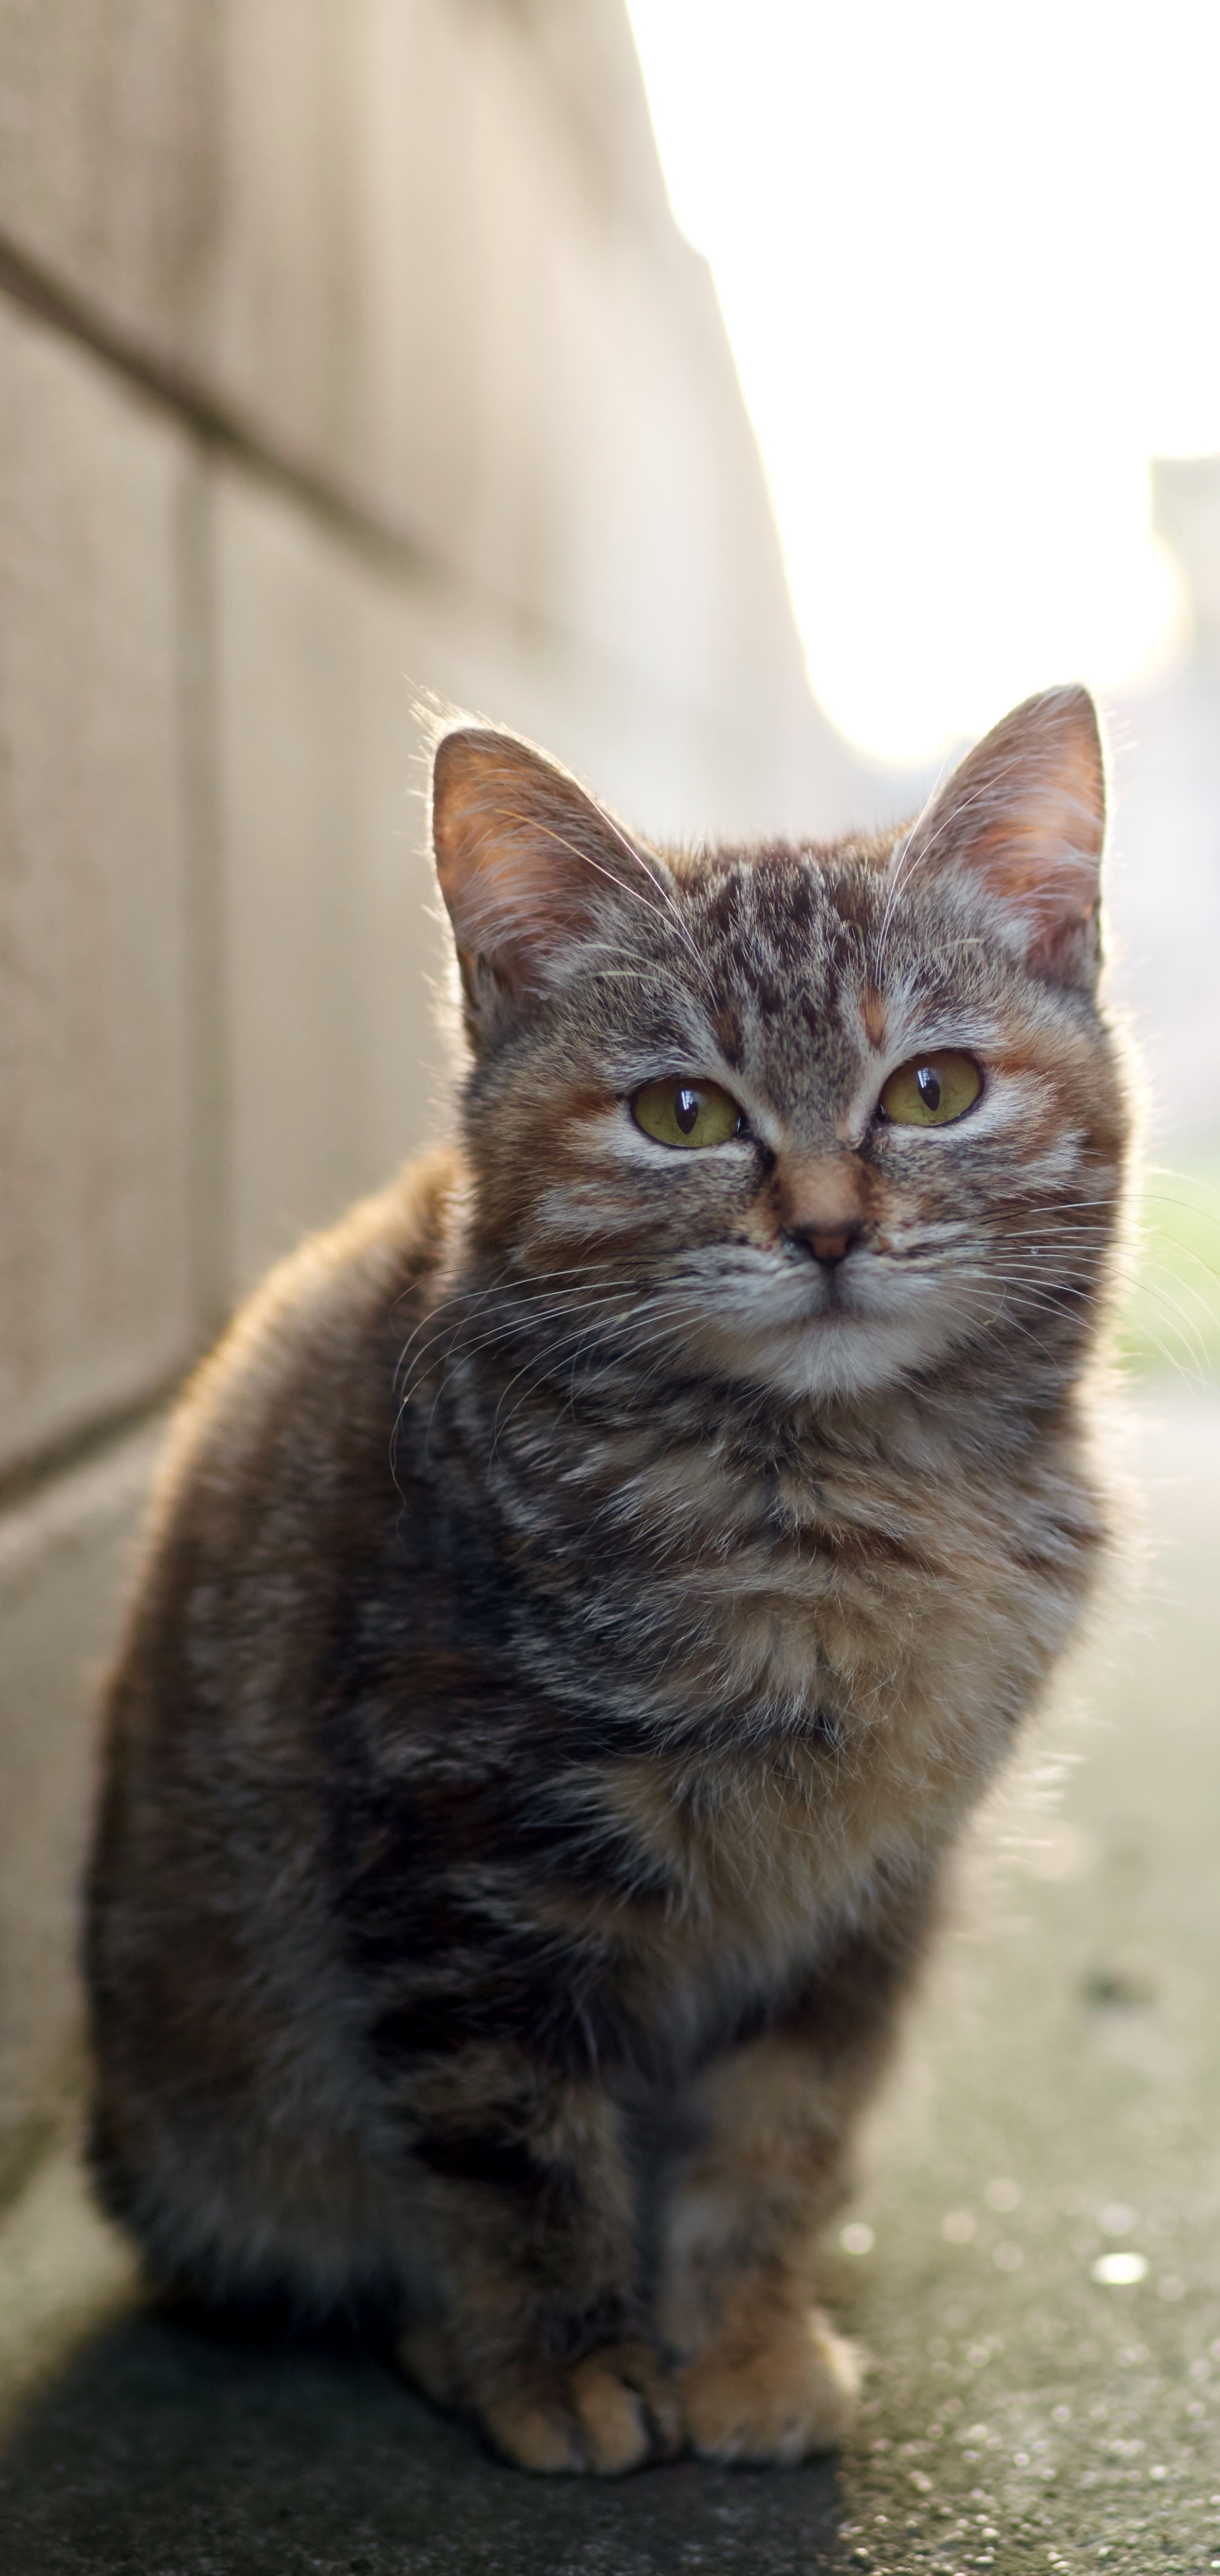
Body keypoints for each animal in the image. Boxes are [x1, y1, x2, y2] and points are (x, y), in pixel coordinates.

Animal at [86, 685, 1127, 2473]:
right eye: (683, 1114)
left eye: (933, 1091)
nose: (829, 1230)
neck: (836, 1497)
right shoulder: (464, 1852)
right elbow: (510, 2140)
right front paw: (563, 2358)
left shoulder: (865, 1893)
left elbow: (780, 2123)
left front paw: (748, 2334)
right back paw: (445, 2337)